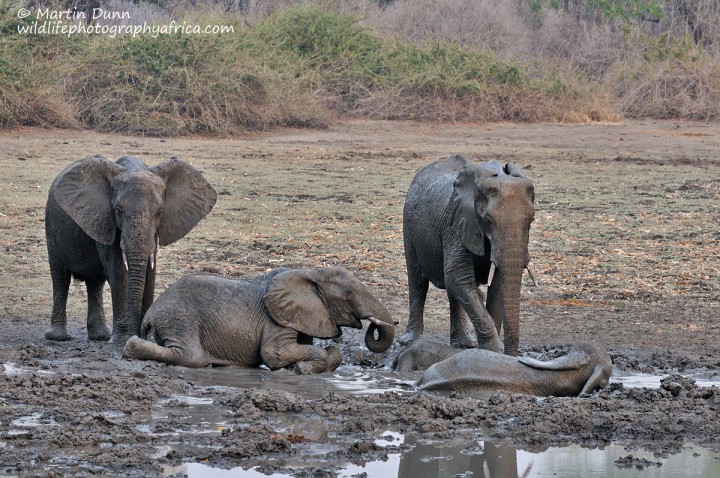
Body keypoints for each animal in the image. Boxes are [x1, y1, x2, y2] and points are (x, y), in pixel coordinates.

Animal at [121, 268, 396, 376]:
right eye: (348, 294)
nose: (374, 326)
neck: (311, 272)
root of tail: (151, 311)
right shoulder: (277, 319)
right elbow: (274, 353)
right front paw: (301, 369)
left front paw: (300, 367)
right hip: (179, 317)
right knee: (191, 356)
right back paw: (131, 348)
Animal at [400, 154, 536, 354]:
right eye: (488, 220)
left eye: (531, 221)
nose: (511, 355)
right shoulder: (456, 224)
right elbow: (458, 277)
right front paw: (494, 349)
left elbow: (495, 284)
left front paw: (489, 351)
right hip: (409, 223)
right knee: (418, 282)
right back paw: (410, 341)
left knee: (452, 291)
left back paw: (464, 344)